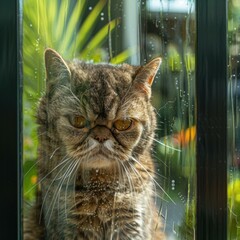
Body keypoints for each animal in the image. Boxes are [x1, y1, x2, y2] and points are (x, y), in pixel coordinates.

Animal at [23, 47, 164, 239]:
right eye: (78, 120)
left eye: (123, 123)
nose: (101, 137)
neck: (100, 187)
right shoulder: (67, 225)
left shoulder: (131, 223)